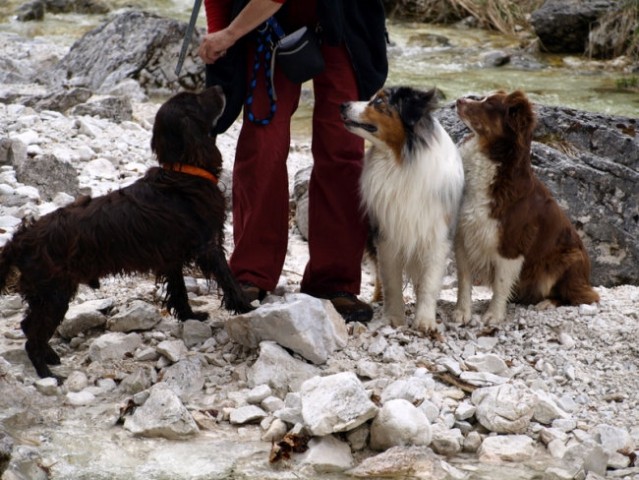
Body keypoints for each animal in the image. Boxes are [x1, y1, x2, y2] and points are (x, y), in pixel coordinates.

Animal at [0, 84, 254, 380]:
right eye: (193, 98)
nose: (219, 86)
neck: (183, 173)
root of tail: (21, 238)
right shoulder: (208, 246)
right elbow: (227, 279)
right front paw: (247, 307)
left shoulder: (172, 257)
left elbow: (179, 291)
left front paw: (191, 317)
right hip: (54, 294)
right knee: (32, 336)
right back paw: (49, 375)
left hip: (47, 294)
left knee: (29, 327)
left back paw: (51, 357)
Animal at [342, 86, 462, 332]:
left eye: (379, 101)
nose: (342, 105)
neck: (401, 162)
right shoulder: (387, 234)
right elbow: (391, 280)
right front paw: (394, 318)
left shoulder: (437, 235)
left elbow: (429, 283)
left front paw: (425, 321)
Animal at [456, 91, 600, 322]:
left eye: (489, 104)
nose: (459, 100)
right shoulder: (464, 236)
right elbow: (464, 280)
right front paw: (462, 312)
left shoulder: (511, 244)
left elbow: (501, 283)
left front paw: (494, 315)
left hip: (567, 259)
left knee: (582, 296)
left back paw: (547, 303)